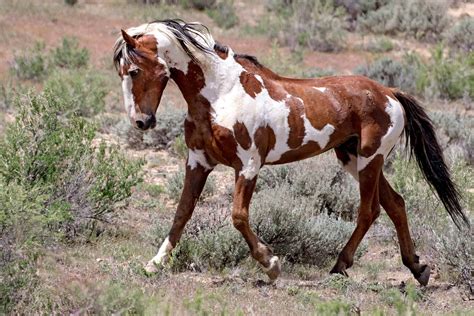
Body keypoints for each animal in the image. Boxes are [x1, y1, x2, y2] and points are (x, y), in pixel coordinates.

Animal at [113, 19, 468, 286]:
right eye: (122, 72)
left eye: (134, 71)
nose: (141, 121)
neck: (220, 93)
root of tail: (390, 93)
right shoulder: (198, 162)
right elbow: (182, 212)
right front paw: (155, 263)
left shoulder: (248, 165)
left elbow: (238, 216)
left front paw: (271, 264)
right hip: (354, 159)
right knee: (396, 204)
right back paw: (417, 269)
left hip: (370, 159)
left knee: (369, 211)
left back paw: (339, 266)